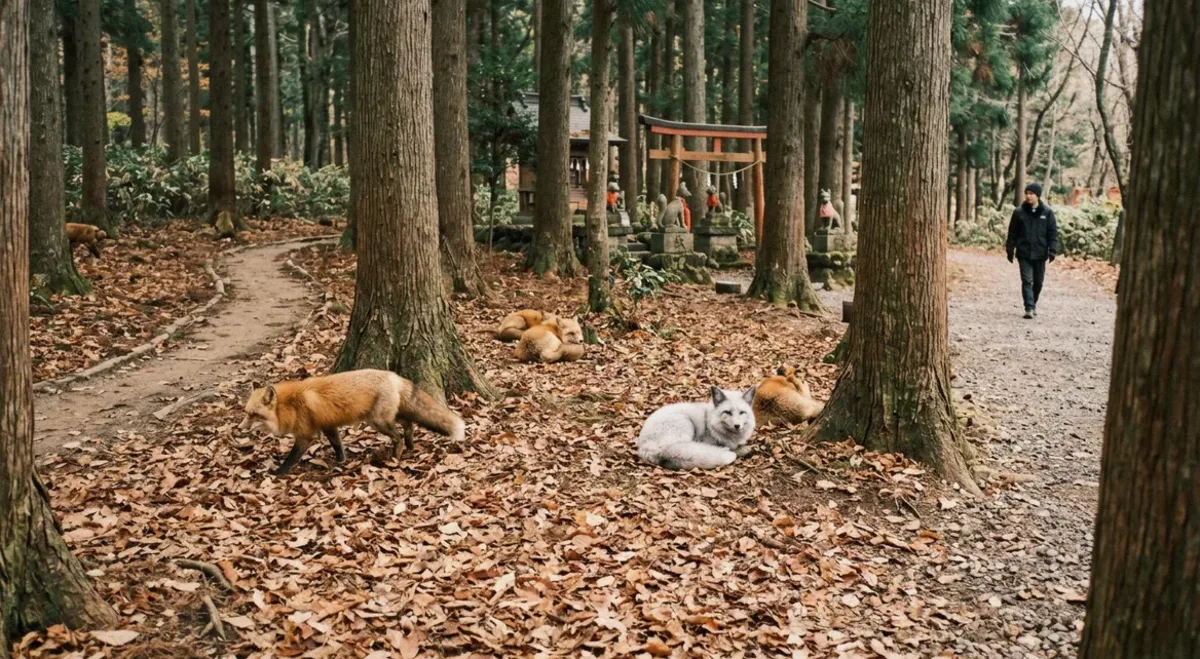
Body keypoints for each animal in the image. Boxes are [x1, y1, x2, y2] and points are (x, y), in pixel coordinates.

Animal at [239, 369, 466, 475]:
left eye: (253, 415)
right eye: (246, 412)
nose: (239, 429)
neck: (289, 405)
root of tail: (394, 375)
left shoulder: (306, 435)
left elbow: (291, 458)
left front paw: (278, 473)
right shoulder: (328, 425)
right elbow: (338, 445)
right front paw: (341, 462)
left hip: (377, 421)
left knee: (399, 436)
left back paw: (396, 456)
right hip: (387, 416)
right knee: (409, 423)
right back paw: (410, 445)